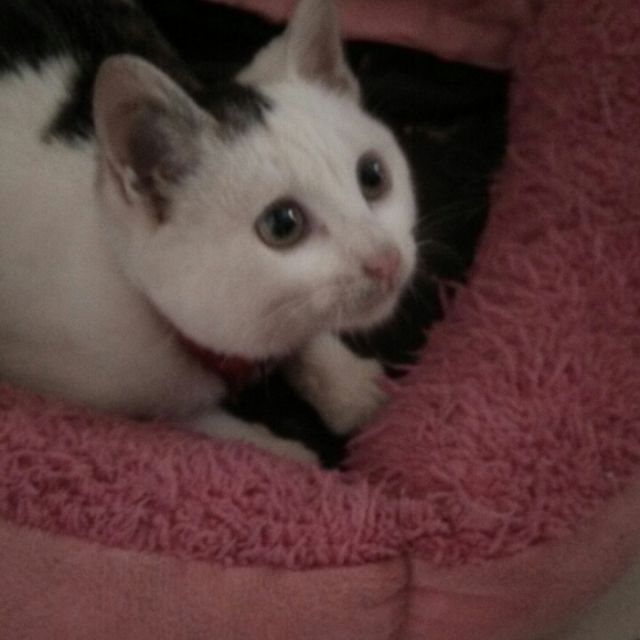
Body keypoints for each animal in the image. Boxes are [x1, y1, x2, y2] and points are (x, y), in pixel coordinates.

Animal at [0, 0, 417, 461]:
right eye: (282, 224)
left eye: (373, 176)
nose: (386, 260)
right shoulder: (45, 379)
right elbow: (182, 421)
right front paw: (279, 454)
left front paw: (347, 383)